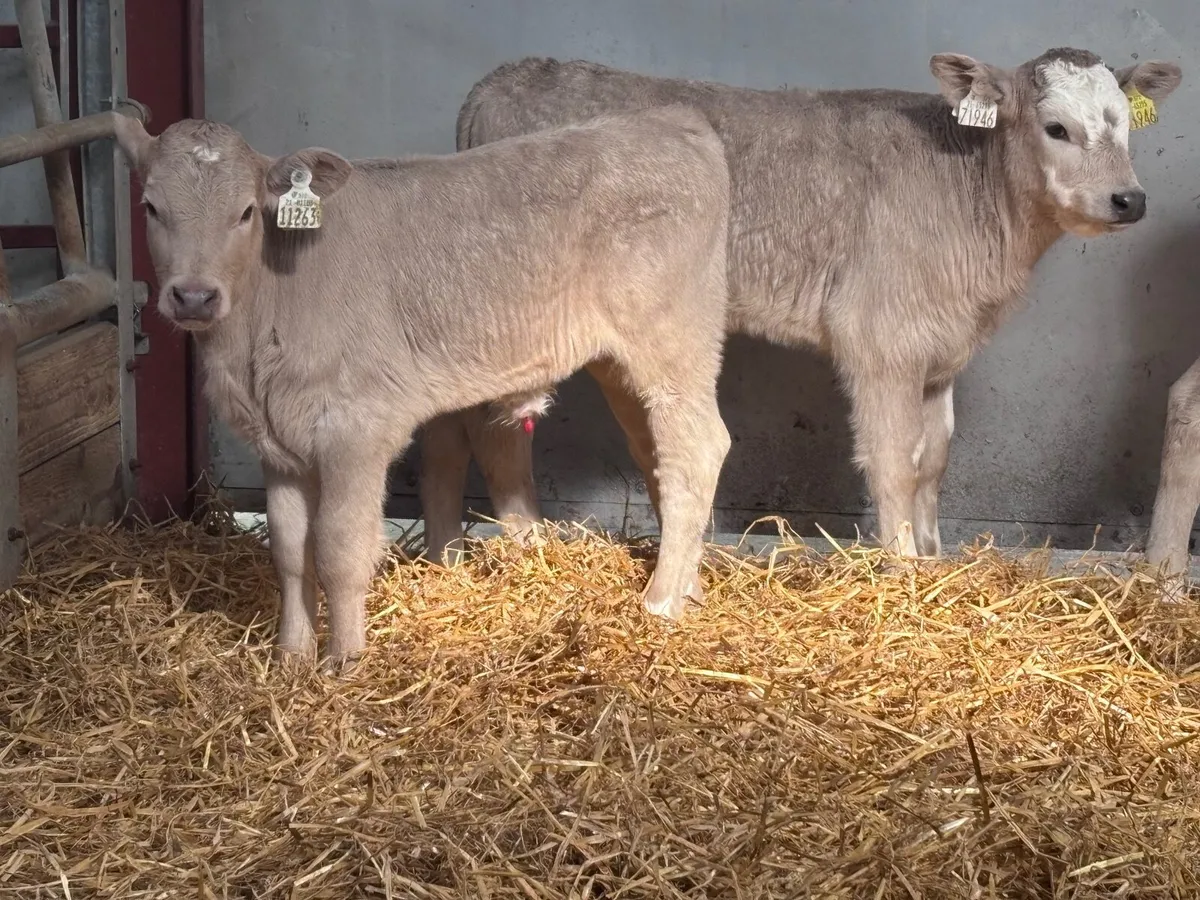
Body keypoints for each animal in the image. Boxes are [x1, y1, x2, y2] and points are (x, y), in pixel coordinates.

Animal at [110, 105, 733, 665]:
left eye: (244, 213)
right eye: (150, 207)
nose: (194, 296)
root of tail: (674, 119)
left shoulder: (356, 429)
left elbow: (339, 548)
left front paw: (345, 663)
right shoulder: (277, 443)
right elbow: (288, 551)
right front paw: (290, 658)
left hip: (674, 340)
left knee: (700, 448)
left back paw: (660, 602)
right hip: (623, 363)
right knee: (656, 451)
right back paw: (690, 588)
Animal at [418, 48, 1182, 564]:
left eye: (1124, 124)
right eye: (1056, 128)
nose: (1129, 199)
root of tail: (505, 78)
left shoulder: (940, 348)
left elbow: (934, 459)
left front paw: (936, 559)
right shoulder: (881, 338)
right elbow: (892, 459)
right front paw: (904, 568)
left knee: (450, 426)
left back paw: (446, 550)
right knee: (492, 428)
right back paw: (526, 546)